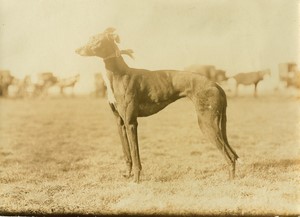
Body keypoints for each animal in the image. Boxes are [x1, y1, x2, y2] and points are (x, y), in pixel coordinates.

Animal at [75, 27, 239, 183]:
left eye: (96, 40)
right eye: (90, 38)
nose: (76, 50)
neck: (118, 74)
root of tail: (216, 85)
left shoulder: (131, 123)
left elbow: (135, 155)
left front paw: (136, 180)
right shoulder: (120, 123)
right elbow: (127, 154)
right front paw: (128, 175)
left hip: (207, 123)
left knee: (230, 156)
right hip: (217, 124)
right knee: (233, 154)